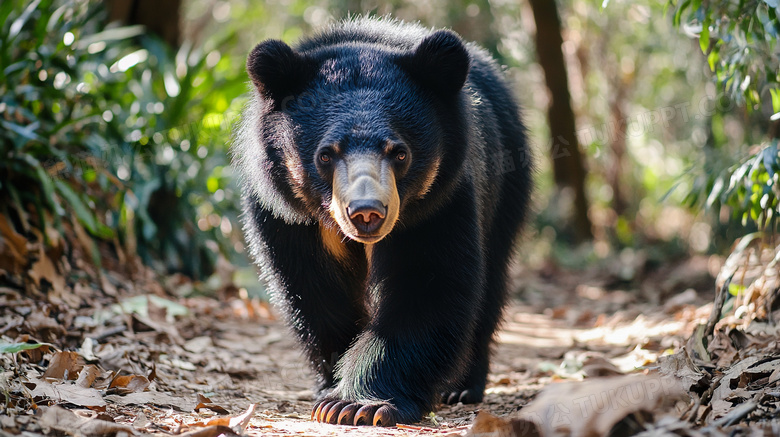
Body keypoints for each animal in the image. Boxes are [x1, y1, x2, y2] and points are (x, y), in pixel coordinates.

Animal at [232, 17, 532, 426]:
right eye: (326, 154)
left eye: (399, 153)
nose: (367, 212)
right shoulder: (288, 217)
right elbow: (314, 291)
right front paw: (330, 387)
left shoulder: (438, 203)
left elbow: (425, 286)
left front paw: (358, 404)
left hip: (507, 188)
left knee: (491, 282)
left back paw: (462, 387)